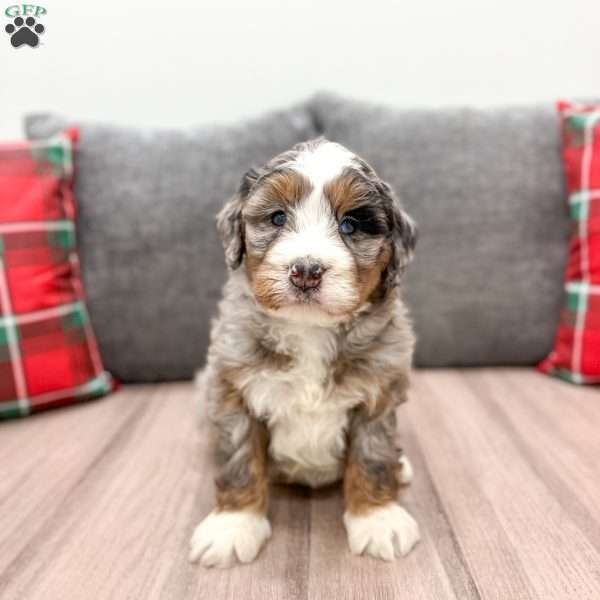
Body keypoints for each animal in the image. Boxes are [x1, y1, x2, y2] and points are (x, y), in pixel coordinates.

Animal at [190, 138, 420, 568]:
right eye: (278, 218)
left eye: (350, 225)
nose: (307, 271)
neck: (310, 330)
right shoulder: (232, 389)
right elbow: (240, 459)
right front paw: (233, 525)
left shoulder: (378, 392)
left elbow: (372, 456)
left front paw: (377, 517)